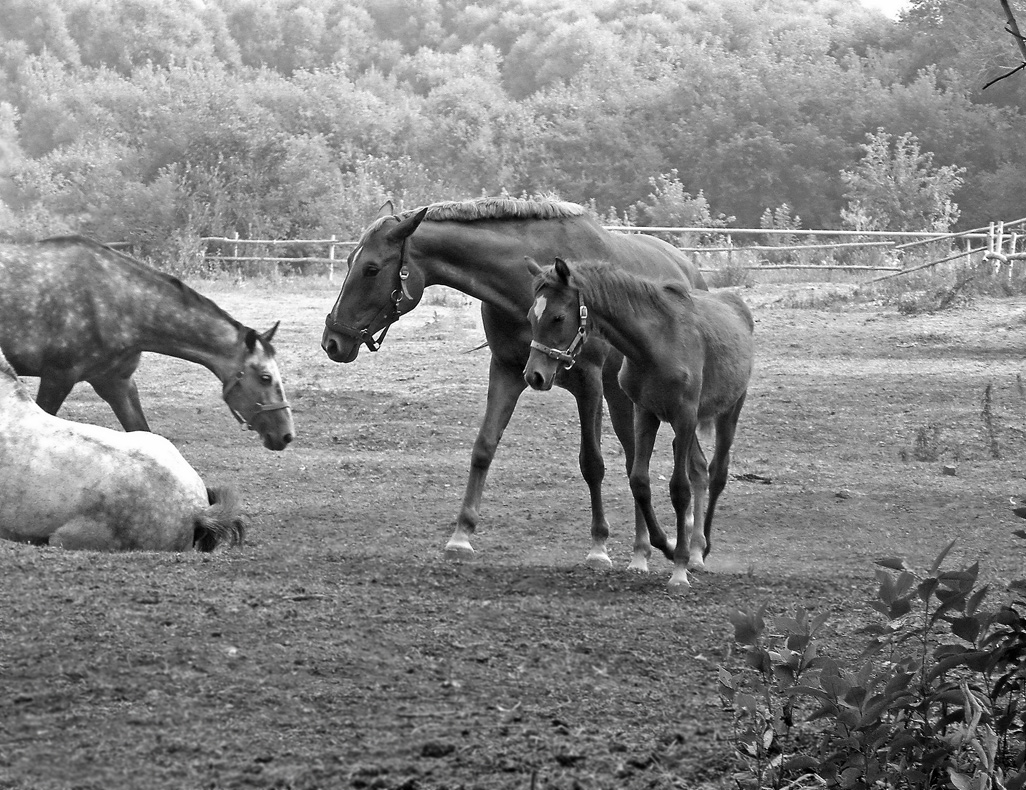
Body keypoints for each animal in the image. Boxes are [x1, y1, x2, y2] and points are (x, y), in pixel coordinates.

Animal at [1, 235, 297, 449]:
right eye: (266, 377)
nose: (286, 435)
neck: (115, 302)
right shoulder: (57, 377)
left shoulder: (116, 383)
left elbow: (143, 432)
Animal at [320, 194, 705, 566]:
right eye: (351, 261)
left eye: (371, 269)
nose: (332, 341)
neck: (527, 285)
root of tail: (691, 273)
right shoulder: (506, 371)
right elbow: (483, 448)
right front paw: (461, 535)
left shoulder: (588, 382)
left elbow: (592, 463)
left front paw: (599, 546)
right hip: (623, 396)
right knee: (649, 462)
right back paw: (655, 549)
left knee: (665, 464)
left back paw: (679, 550)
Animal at [525, 255, 751, 586]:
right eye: (531, 316)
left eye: (557, 317)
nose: (534, 376)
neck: (657, 343)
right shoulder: (645, 412)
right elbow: (639, 481)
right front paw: (666, 546)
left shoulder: (684, 415)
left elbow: (679, 489)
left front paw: (679, 568)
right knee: (699, 468)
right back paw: (695, 549)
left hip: (730, 410)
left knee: (717, 473)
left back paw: (701, 549)